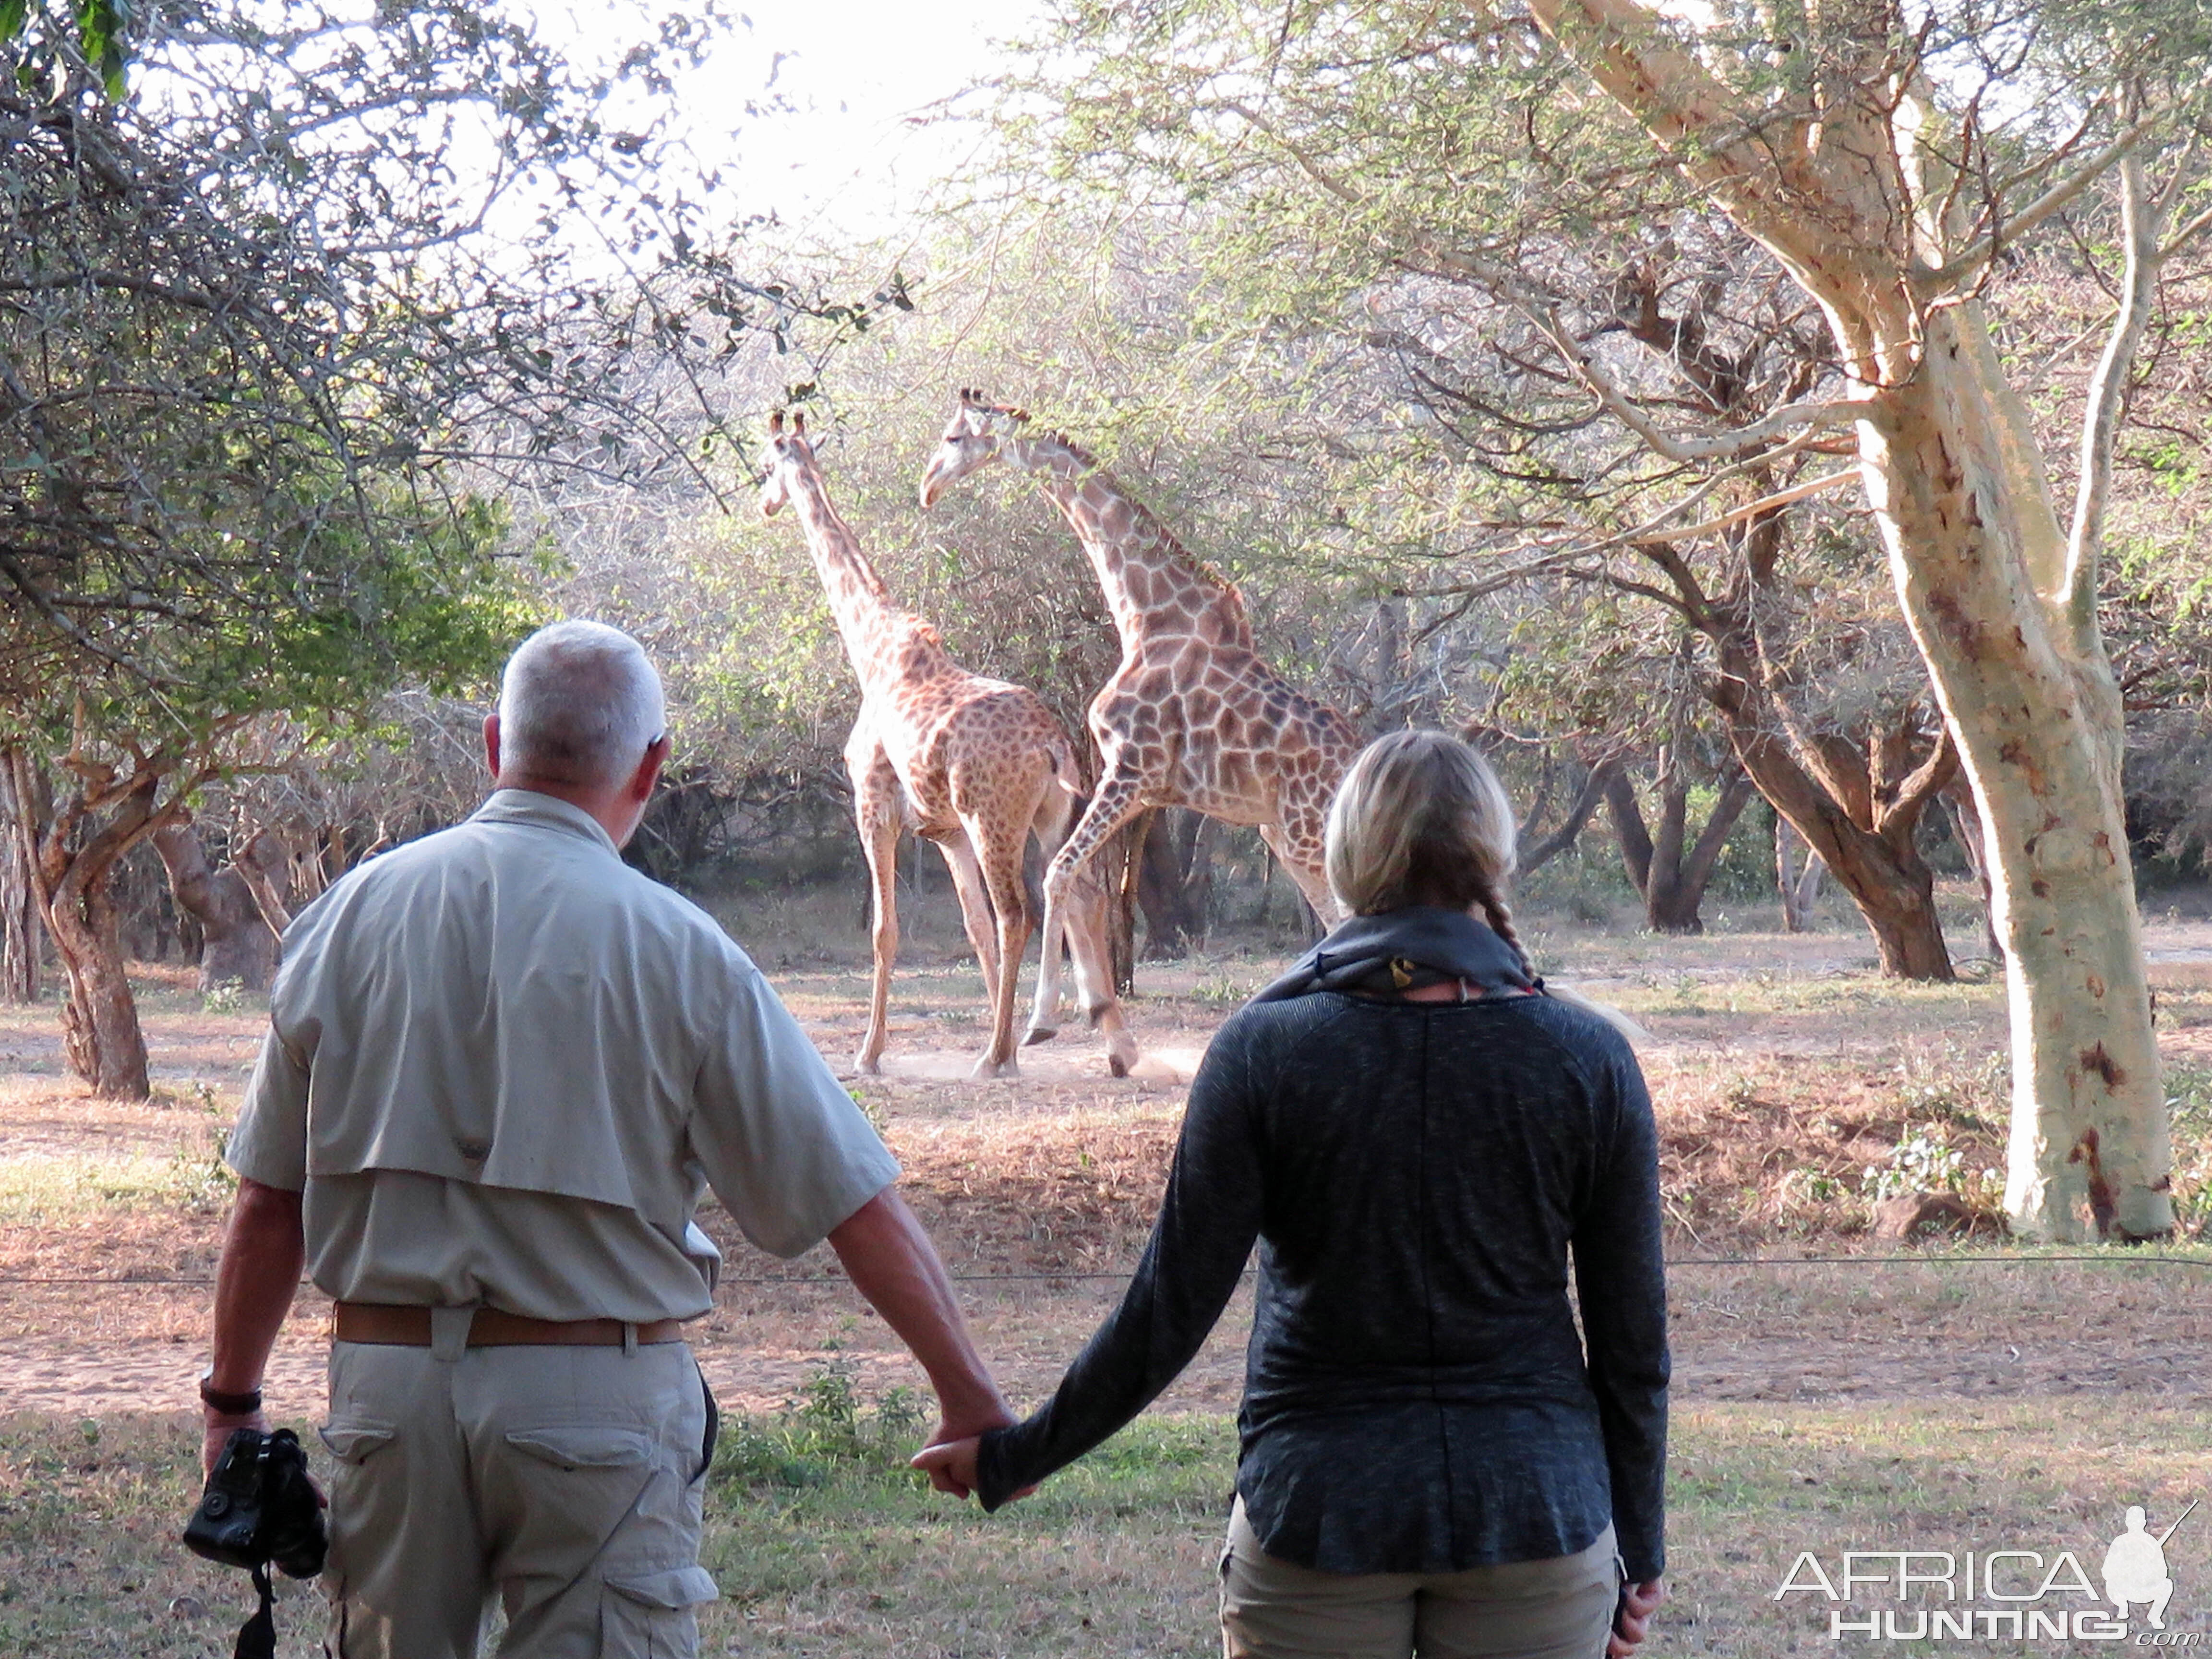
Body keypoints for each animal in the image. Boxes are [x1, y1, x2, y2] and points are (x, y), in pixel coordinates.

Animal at [765, 416, 1141, 1083]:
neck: (872, 650)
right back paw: (1111, 1047)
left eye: (766, 465)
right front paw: (1004, 1033)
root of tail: (1051, 744)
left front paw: (870, 1054)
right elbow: (975, 928)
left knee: (1022, 912)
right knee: (1081, 895)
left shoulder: (874, 807)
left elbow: (886, 929)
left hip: (996, 819)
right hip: (1049, 815)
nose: (764, 502)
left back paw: (998, 1058)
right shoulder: (944, 831)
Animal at [920, 389, 1362, 1039]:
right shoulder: (1142, 787)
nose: (927, 487)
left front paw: (1044, 1019)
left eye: (954, 438)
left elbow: (1058, 874)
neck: (1143, 618)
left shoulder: (1130, 769)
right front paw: (1080, 1008)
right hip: (1282, 833)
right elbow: (1077, 880)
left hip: (1308, 833)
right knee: (1342, 922)